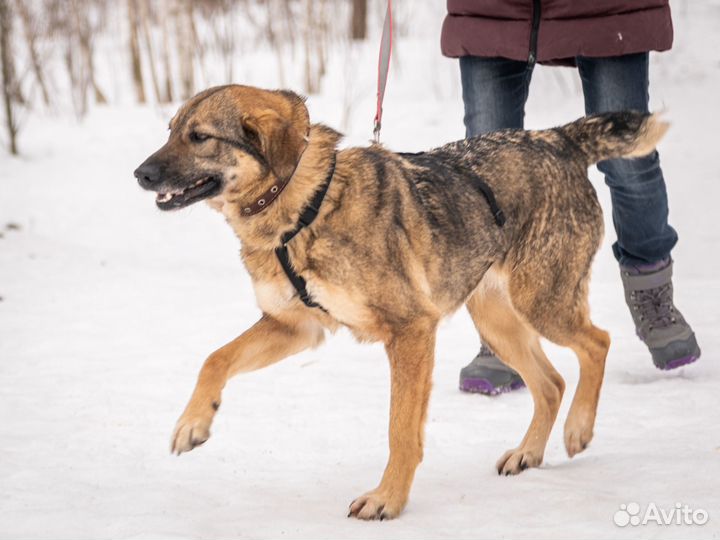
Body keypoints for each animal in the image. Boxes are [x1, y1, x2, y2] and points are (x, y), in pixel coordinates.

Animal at [134, 85, 668, 524]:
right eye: (171, 131)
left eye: (199, 137)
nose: (139, 173)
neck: (304, 207)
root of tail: (556, 139)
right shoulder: (294, 328)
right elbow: (215, 358)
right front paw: (194, 423)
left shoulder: (410, 331)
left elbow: (400, 431)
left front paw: (387, 499)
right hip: (495, 320)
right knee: (552, 382)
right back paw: (528, 453)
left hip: (541, 302)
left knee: (597, 343)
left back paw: (578, 429)